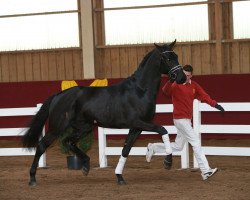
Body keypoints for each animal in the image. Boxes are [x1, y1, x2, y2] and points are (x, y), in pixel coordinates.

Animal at [22, 39, 186, 186]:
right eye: (167, 58)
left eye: (176, 56)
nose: (181, 77)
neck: (139, 91)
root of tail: (58, 95)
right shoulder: (139, 122)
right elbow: (162, 129)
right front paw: (168, 161)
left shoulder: (136, 128)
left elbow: (126, 150)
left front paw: (119, 177)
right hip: (58, 127)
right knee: (42, 145)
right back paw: (32, 178)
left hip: (85, 127)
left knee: (68, 141)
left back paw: (86, 166)